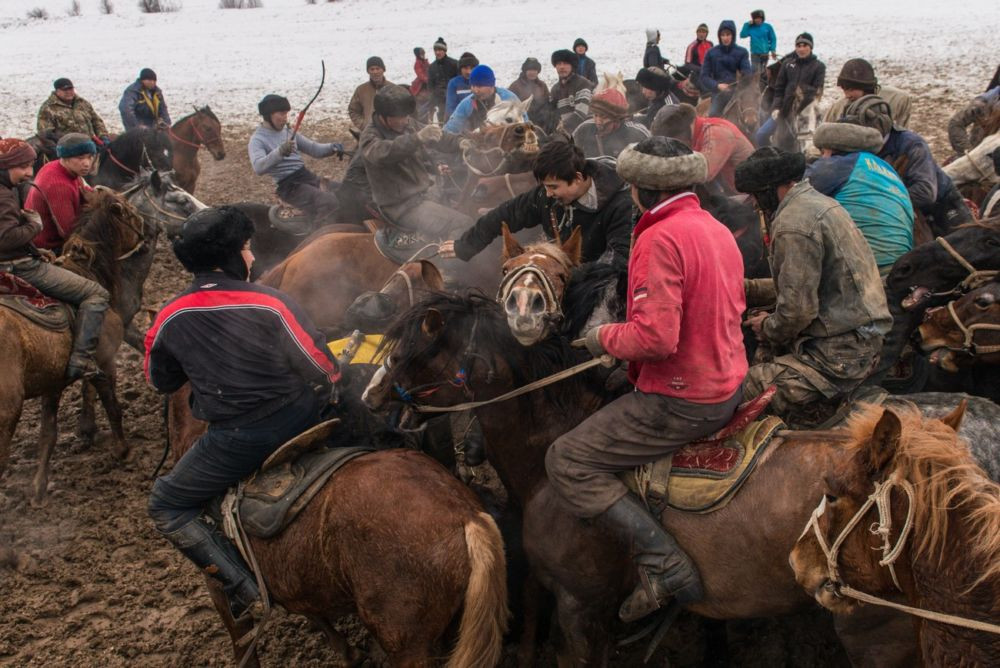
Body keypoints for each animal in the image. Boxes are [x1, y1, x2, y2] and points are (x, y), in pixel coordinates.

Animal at [0, 185, 146, 504]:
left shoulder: (51, 383)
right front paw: (122, 450)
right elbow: (112, 404)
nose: (145, 227)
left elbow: (48, 434)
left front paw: (38, 489)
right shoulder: (105, 361)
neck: (87, 272)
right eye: (128, 210)